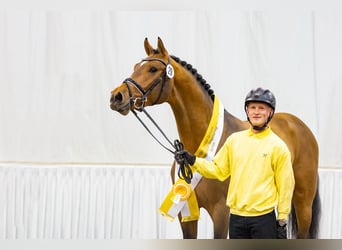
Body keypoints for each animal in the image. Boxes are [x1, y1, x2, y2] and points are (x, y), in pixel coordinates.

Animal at [109, 36, 320, 238]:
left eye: (153, 69)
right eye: (135, 67)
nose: (116, 97)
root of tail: (300, 126)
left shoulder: (221, 213)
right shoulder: (185, 213)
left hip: (303, 202)